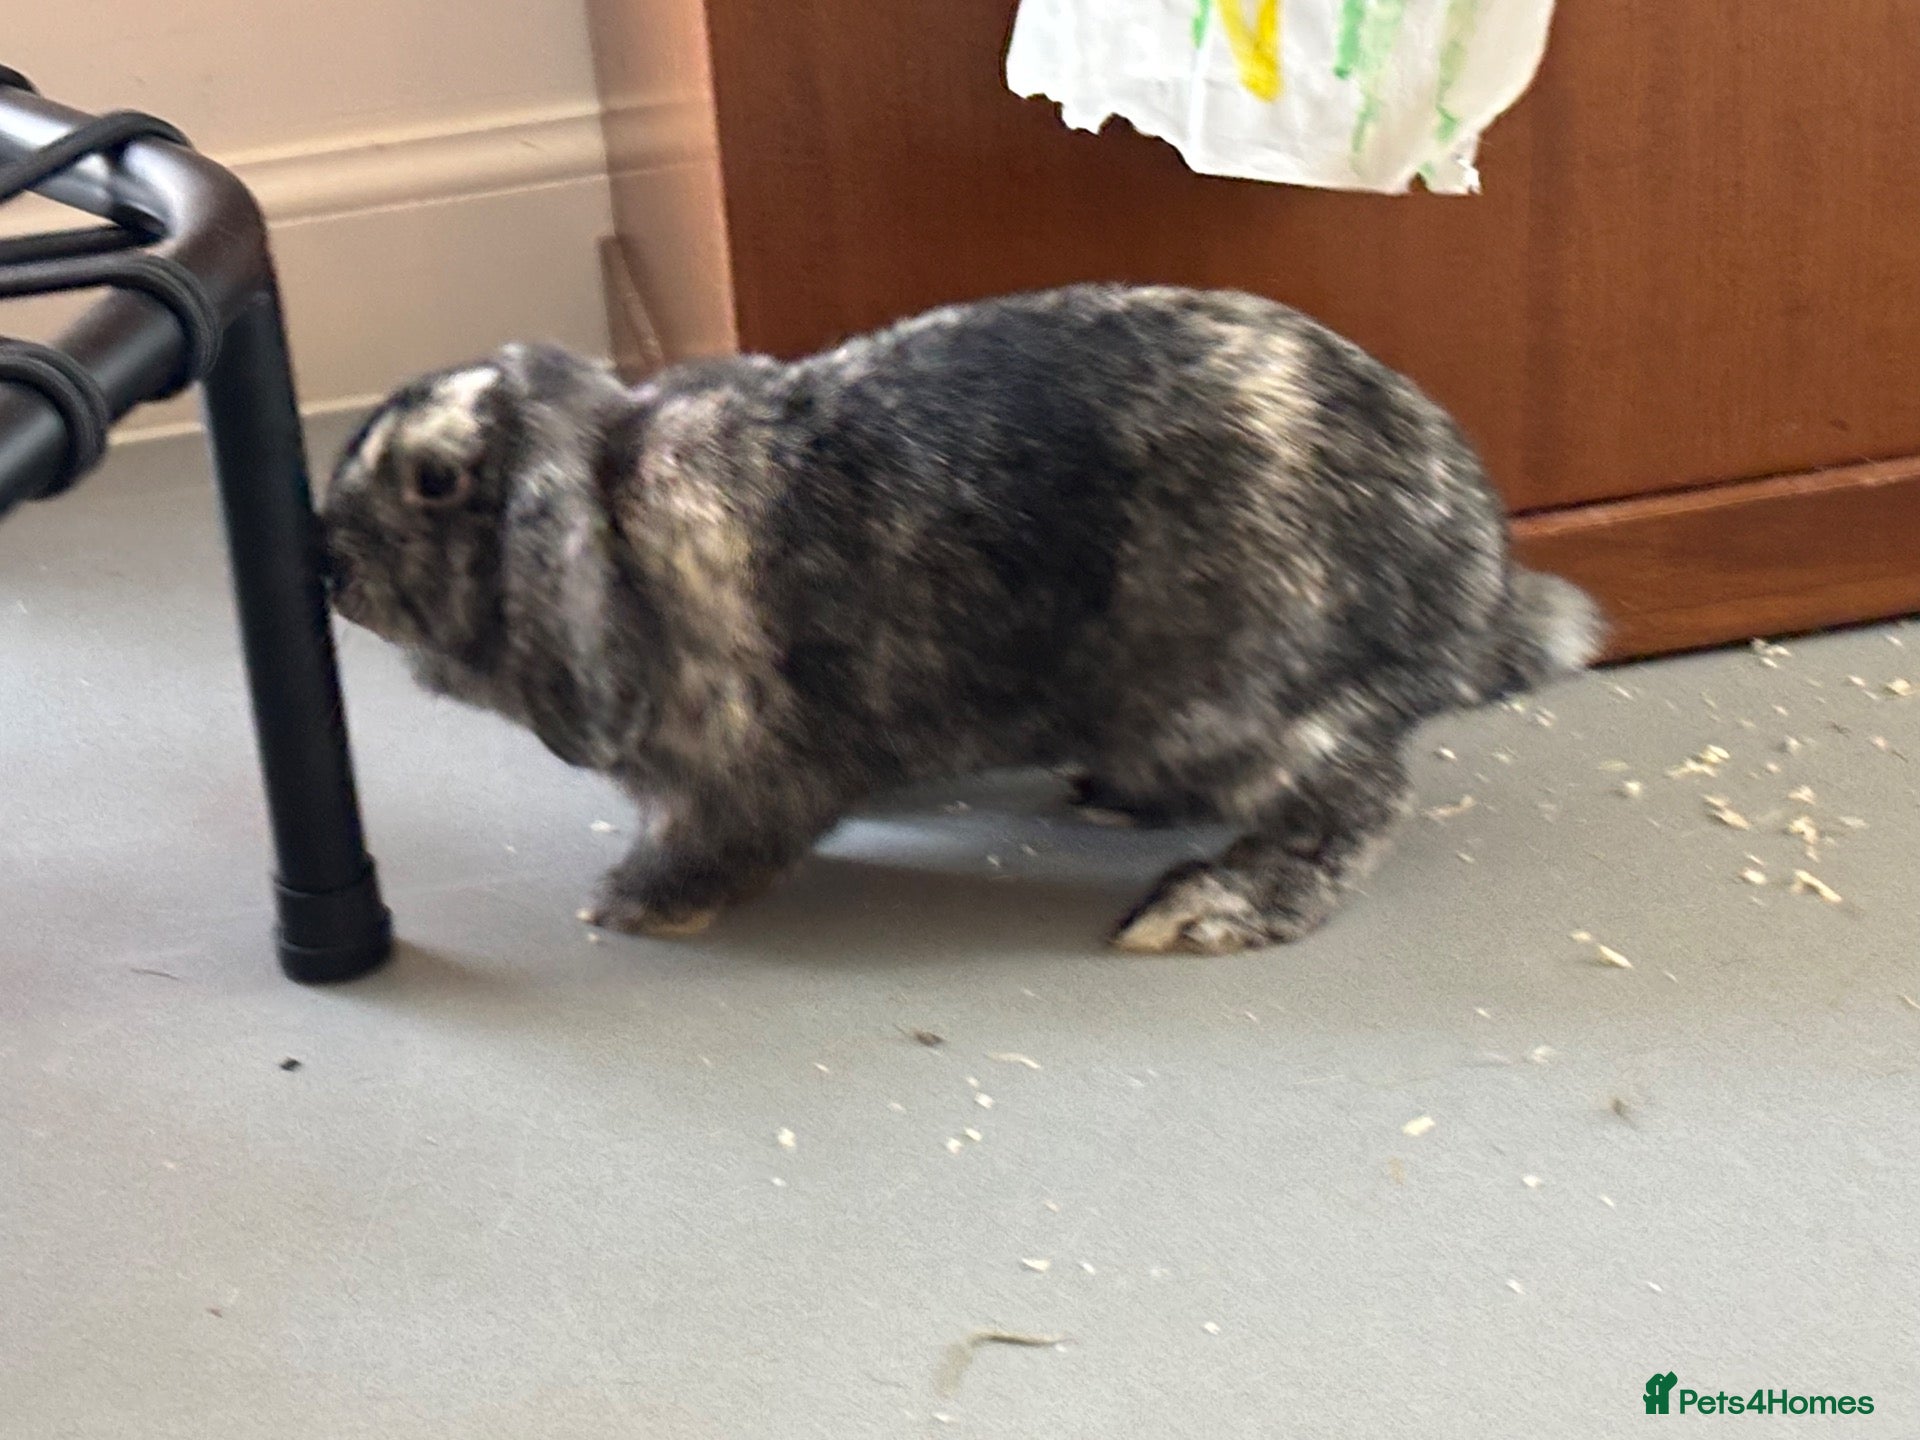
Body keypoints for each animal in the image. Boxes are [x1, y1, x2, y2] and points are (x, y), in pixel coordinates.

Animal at [320, 283, 1602, 953]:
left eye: (432, 482)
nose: (325, 562)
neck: (614, 515)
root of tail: (1474, 584)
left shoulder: (726, 782)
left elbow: (718, 841)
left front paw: (635, 905)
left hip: (1245, 705)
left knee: (1356, 803)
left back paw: (1208, 906)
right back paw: (1113, 798)